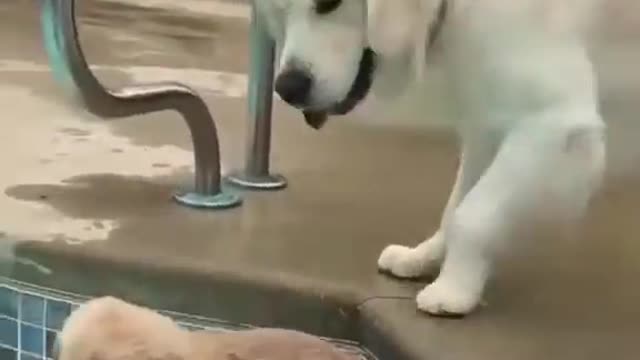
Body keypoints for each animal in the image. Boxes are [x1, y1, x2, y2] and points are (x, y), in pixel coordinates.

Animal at [254, 0, 604, 316]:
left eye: (329, 3)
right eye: (279, 9)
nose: (288, 88)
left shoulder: (554, 121)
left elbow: (474, 215)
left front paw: (454, 289)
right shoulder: (489, 120)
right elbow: (456, 207)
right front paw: (426, 259)